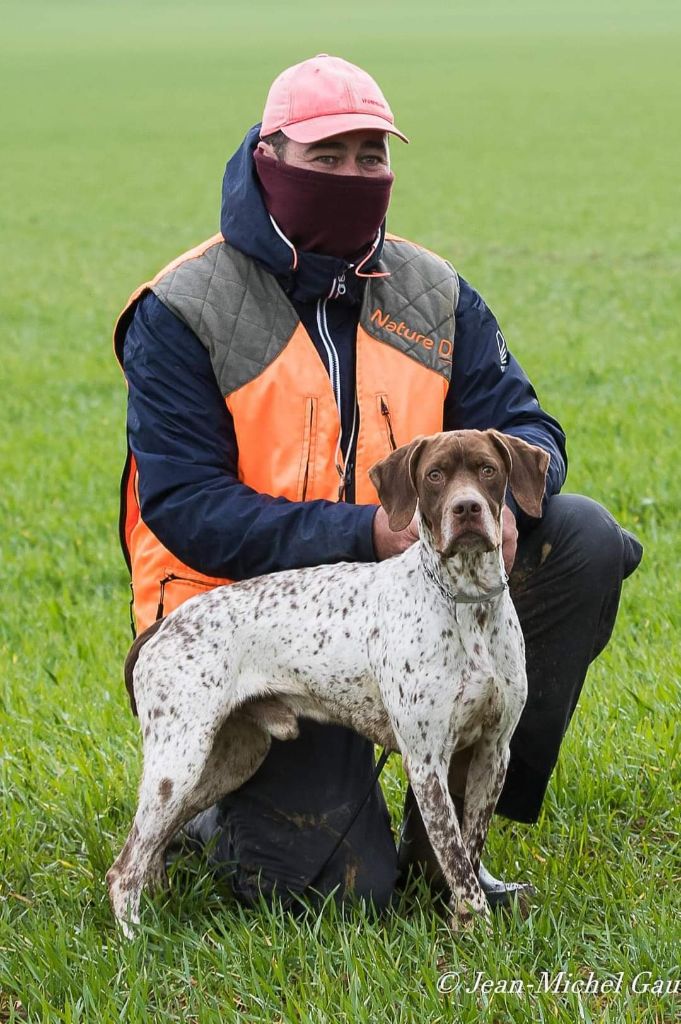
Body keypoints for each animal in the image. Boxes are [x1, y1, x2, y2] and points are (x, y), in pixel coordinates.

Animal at [107, 425, 552, 937]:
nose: (467, 509)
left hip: (229, 758)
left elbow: (467, 851)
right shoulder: (427, 761)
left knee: (153, 848)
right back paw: (135, 939)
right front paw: (480, 932)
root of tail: (164, 625)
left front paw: (463, 923)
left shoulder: (492, 752)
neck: (467, 602)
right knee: (124, 867)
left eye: (487, 470)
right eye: (435, 475)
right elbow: (457, 859)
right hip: (178, 762)